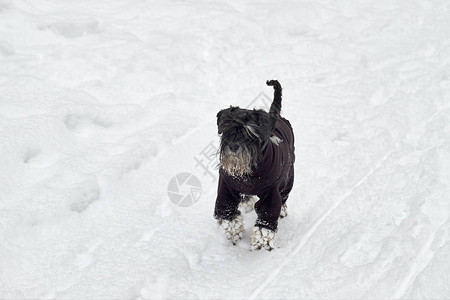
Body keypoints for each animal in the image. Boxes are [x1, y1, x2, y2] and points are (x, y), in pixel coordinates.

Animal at [214, 80, 296, 251]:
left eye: (251, 133)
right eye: (227, 130)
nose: (234, 147)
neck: (249, 174)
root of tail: (275, 116)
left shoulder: (271, 194)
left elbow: (266, 219)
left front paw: (261, 241)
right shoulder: (226, 188)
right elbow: (227, 212)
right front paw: (233, 232)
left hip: (289, 176)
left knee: (284, 196)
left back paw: (282, 211)